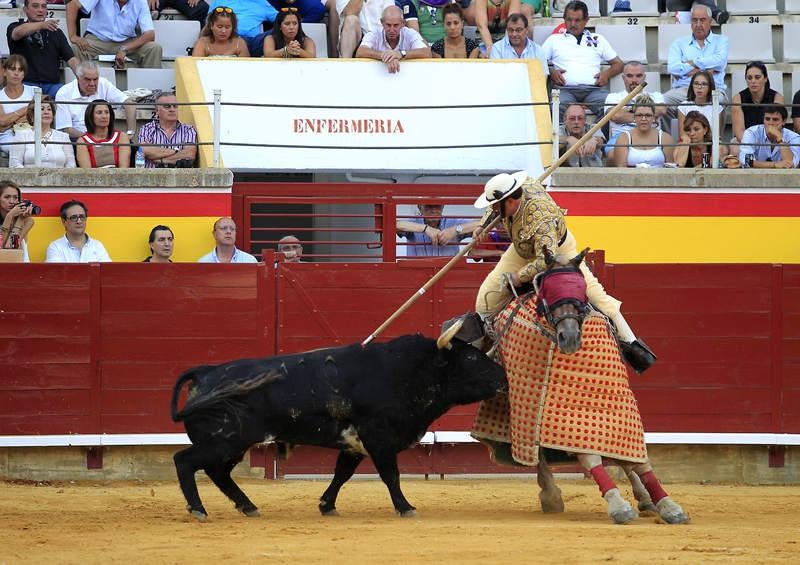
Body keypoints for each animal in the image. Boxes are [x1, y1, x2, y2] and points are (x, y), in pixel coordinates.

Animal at [170, 322, 506, 520]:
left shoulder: (355, 444)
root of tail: (205, 372)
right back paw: (199, 509)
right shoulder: (379, 438)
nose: (503, 376)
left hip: (234, 444)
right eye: (471, 358)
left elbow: (342, 474)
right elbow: (391, 475)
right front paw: (405, 507)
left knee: (217, 472)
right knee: (184, 461)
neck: (409, 371)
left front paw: (326, 506)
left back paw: (248, 506)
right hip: (222, 440)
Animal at [472, 247, 692, 524]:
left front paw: (668, 504)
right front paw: (618, 505)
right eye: (549, 290)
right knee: (538, 451)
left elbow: (638, 460)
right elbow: (589, 456)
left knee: (624, 460)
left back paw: (645, 500)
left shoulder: (616, 404)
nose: (569, 338)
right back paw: (551, 495)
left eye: (581, 291)